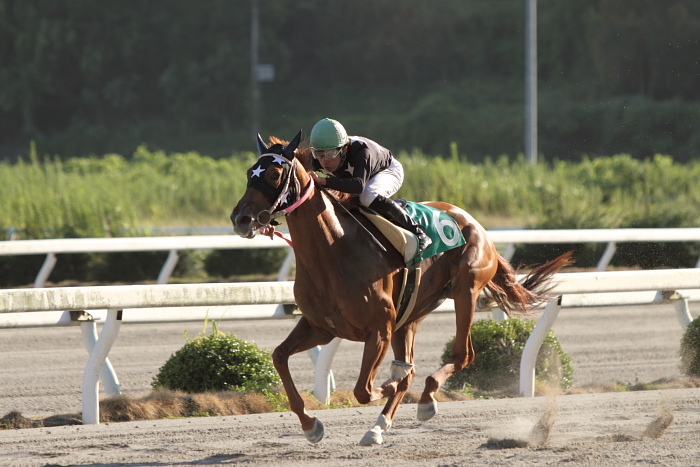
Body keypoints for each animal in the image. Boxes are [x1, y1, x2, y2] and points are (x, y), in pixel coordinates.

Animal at [231, 132, 576, 446]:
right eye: (249, 173)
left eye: (275, 175)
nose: (240, 219)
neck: (333, 251)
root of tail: (475, 223)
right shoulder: (321, 327)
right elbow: (279, 356)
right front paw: (310, 425)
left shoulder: (378, 328)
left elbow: (365, 389)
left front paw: (391, 382)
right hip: (411, 314)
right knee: (417, 361)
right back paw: (378, 426)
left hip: (465, 290)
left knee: (462, 354)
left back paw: (422, 400)